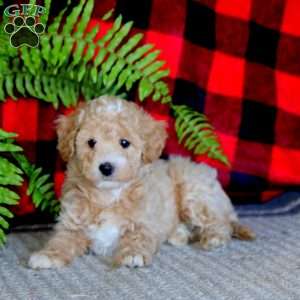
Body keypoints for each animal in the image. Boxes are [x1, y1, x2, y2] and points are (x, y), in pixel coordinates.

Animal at [28, 96, 254, 270]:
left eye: (124, 143)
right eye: (91, 142)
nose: (106, 167)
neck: (108, 196)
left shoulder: (145, 221)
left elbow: (138, 236)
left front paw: (132, 254)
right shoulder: (72, 223)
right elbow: (62, 239)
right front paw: (48, 255)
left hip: (194, 192)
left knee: (219, 222)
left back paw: (214, 237)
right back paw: (179, 234)